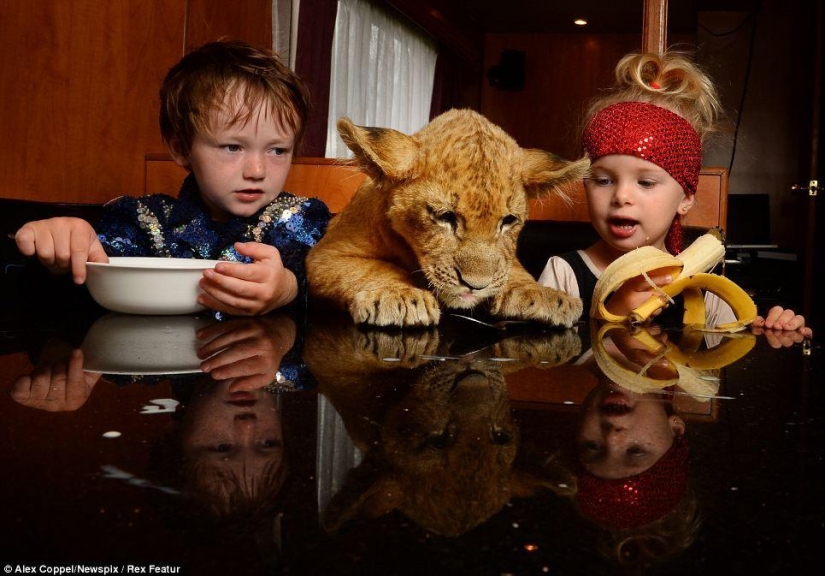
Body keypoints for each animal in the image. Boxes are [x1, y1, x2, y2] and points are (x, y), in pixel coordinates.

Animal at [305, 109, 590, 327]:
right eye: (445, 217)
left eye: (508, 221)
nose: (475, 286)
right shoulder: (324, 256)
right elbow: (374, 267)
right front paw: (398, 295)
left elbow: (511, 267)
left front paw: (540, 294)